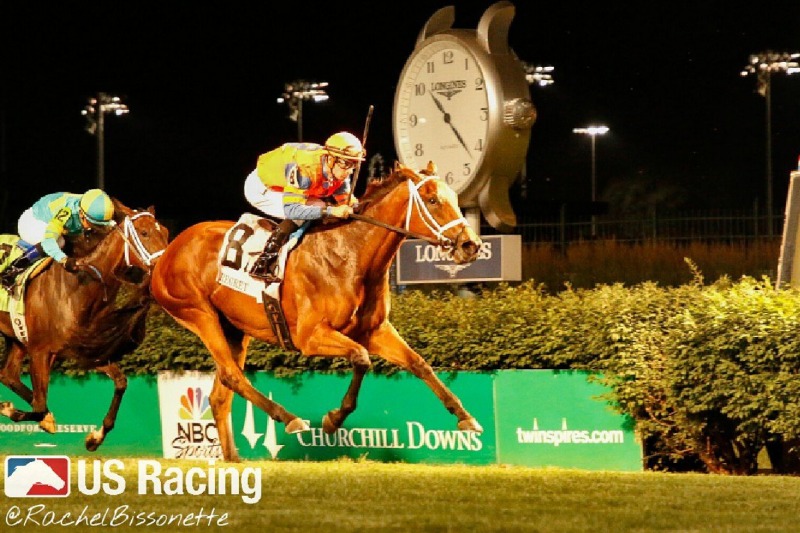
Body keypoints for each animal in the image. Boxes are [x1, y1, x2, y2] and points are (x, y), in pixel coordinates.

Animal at [0, 199, 169, 451]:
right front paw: (9, 408)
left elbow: (121, 383)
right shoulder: (40, 351)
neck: (78, 288)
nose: (165, 269)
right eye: (144, 232)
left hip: (15, 339)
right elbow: (39, 406)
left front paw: (95, 437)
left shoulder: (85, 351)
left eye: (165, 232)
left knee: (8, 375)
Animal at [150, 162, 484, 462]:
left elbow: (419, 364)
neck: (351, 255)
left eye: (455, 198)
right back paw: (290, 419)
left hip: (235, 330)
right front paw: (333, 419)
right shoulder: (310, 337)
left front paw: (465, 416)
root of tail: (165, 253)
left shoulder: (375, 330)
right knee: (232, 376)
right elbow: (361, 358)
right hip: (199, 314)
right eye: (433, 200)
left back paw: (233, 458)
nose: (471, 245)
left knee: (221, 394)